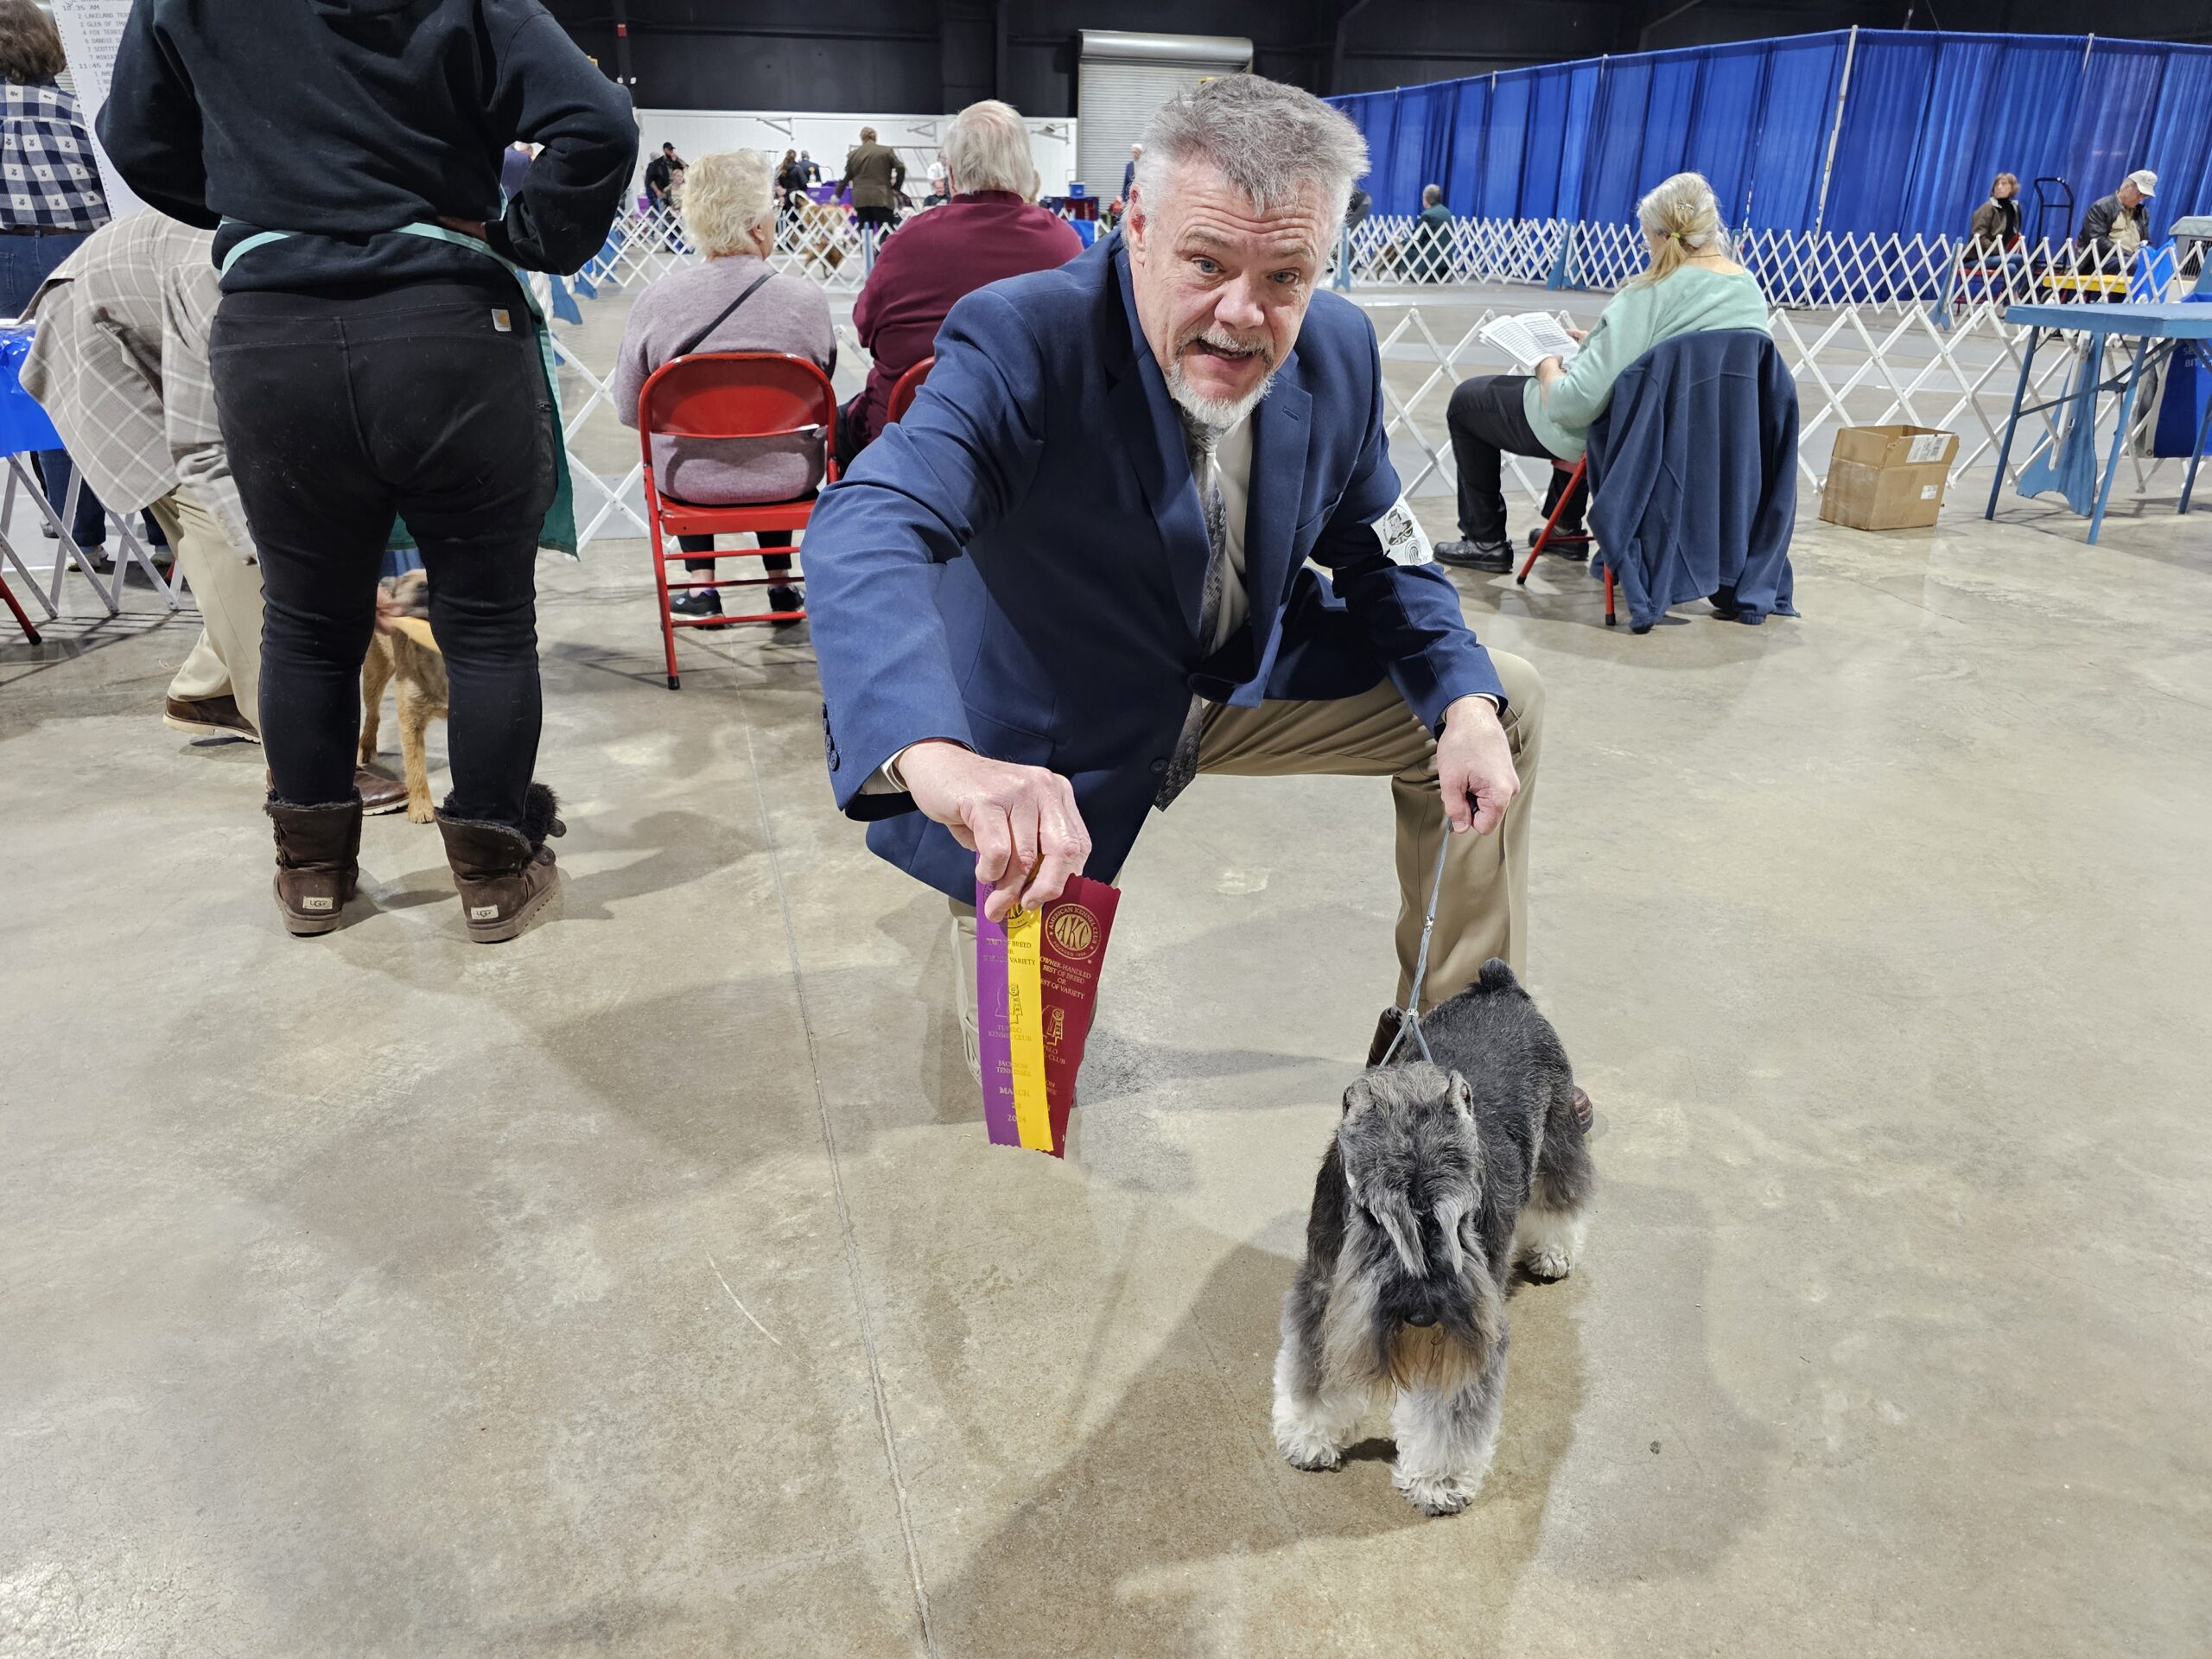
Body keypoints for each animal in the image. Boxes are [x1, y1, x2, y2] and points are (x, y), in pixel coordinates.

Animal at [360, 575, 451, 827]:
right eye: (421, 585)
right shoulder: (411, 724)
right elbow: (415, 767)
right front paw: (421, 807)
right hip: (374, 674)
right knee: (373, 714)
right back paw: (366, 748)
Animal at [1274, 960, 1601, 1522]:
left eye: (1461, 1213)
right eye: (1373, 1214)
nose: (1424, 1313)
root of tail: (1499, 985)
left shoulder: (1475, 1327)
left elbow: (1450, 1407)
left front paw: (1439, 1477)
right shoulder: (1324, 1289)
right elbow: (1313, 1366)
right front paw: (1309, 1432)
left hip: (1559, 1131)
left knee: (1561, 1192)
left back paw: (1554, 1249)